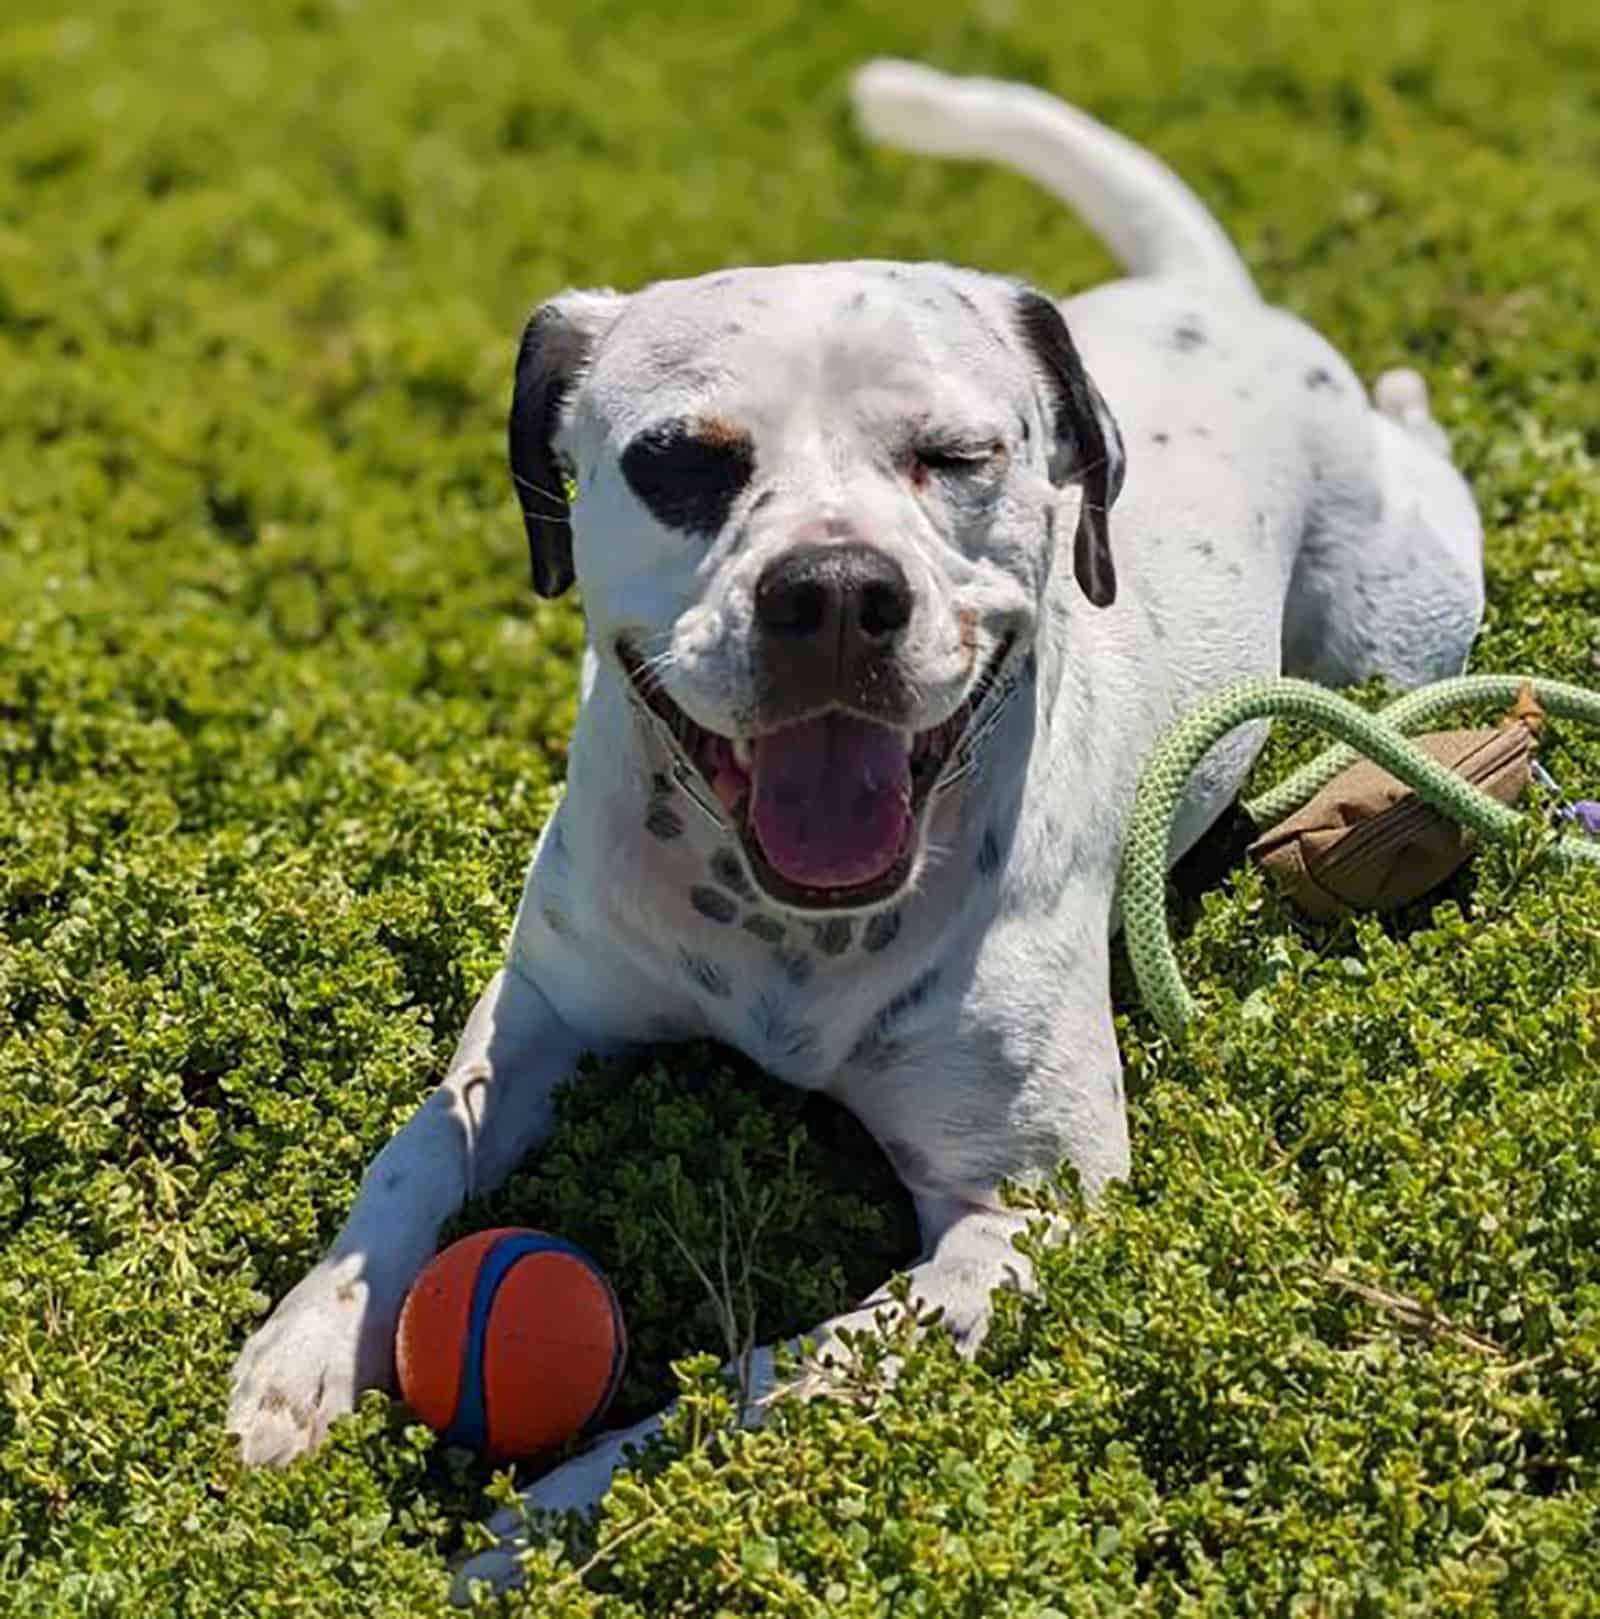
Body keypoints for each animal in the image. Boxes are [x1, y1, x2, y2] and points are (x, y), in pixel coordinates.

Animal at [225, 59, 1489, 1593]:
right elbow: (417, 1147)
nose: (832, 589)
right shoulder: (540, 1010)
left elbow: (752, 1389)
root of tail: (1213, 296)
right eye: (679, 461)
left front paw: (535, 1528)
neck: (783, 924)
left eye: (957, 453)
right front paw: (309, 1342)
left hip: (1402, 624)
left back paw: (1415, 395)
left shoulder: (1020, 1216)